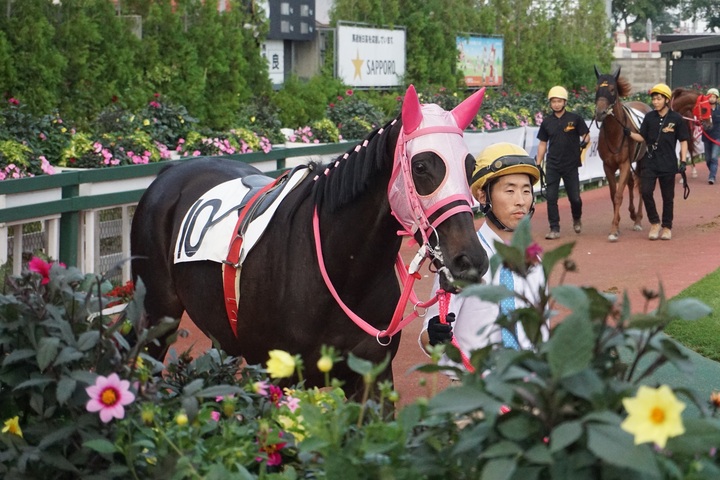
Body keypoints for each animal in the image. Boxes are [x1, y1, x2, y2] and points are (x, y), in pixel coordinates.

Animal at [130, 85, 489, 398]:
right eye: (421, 166)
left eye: (470, 166)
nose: (470, 261)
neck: (342, 270)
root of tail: (169, 171)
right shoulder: (277, 376)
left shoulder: (372, 376)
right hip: (157, 314)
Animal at [594, 66, 652, 242]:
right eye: (596, 88)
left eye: (612, 89)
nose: (600, 112)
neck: (616, 132)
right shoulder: (608, 165)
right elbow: (614, 194)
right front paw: (617, 225)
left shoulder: (624, 163)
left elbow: (619, 195)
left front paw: (613, 229)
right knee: (632, 182)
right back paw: (632, 213)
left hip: (642, 159)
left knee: (640, 185)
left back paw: (638, 219)